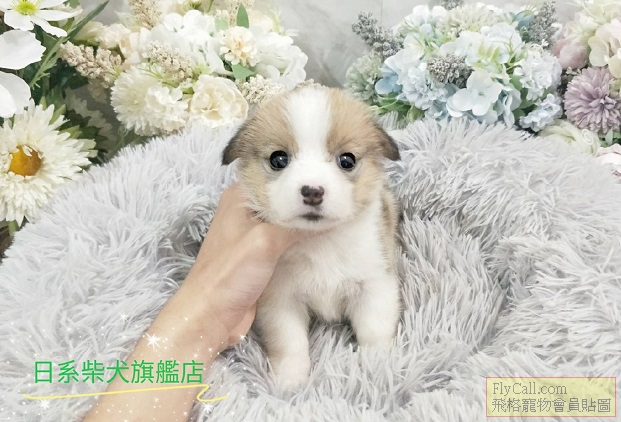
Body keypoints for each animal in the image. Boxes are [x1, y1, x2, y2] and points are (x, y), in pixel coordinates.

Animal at [222, 86, 401, 390]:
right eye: (278, 159)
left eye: (347, 160)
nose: (313, 191)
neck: (320, 241)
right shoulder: (279, 301)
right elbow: (289, 342)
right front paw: (290, 380)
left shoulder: (374, 285)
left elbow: (374, 331)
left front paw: (376, 368)